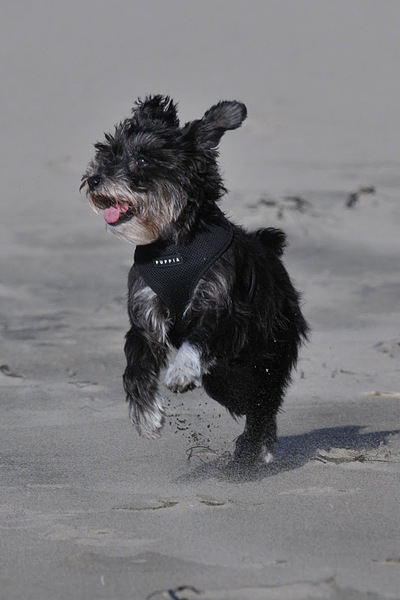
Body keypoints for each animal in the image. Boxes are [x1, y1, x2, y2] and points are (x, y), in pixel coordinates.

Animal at [81, 96, 310, 466]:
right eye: (108, 153)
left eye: (143, 158)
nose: (94, 180)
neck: (173, 246)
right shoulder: (145, 315)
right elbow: (135, 365)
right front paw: (145, 414)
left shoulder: (224, 310)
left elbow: (199, 336)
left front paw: (182, 371)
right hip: (226, 376)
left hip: (269, 350)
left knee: (262, 399)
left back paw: (254, 447)